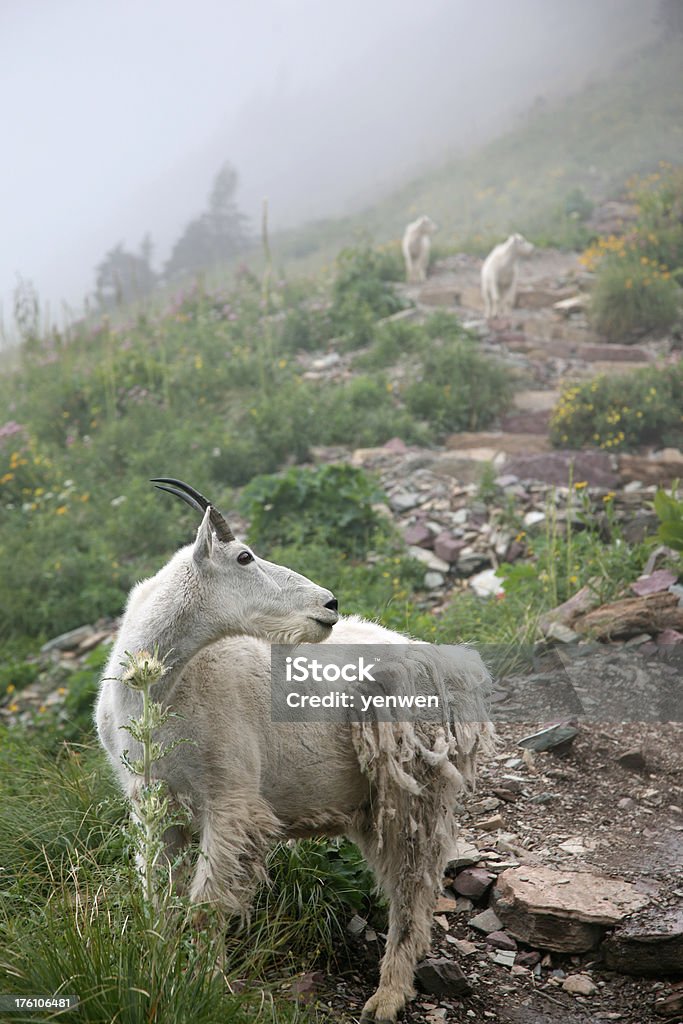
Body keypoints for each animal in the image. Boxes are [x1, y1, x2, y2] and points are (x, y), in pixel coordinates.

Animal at [94, 479, 491, 1024]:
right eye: (244, 556)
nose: (329, 603)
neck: (160, 691)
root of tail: (455, 671)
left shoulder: (230, 798)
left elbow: (206, 907)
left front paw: (206, 986)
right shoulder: (154, 804)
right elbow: (160, 898)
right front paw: (160, 971)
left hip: (413, 789)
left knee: (411, 887)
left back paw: (387, 996)